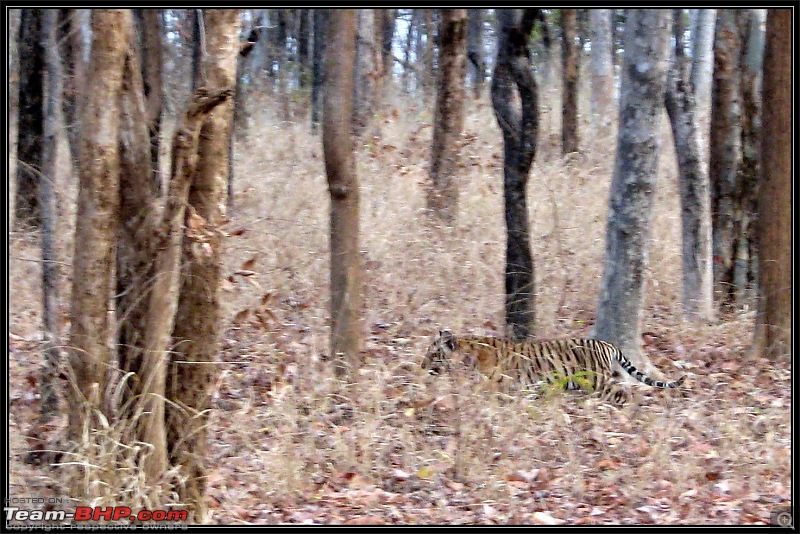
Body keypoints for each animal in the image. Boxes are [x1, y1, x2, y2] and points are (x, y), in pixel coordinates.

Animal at [422, 328, 684, 408]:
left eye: (433, 354)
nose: (422, 366)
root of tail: (607, 344)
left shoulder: (494, 384)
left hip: (597, 380)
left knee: (622, 393)